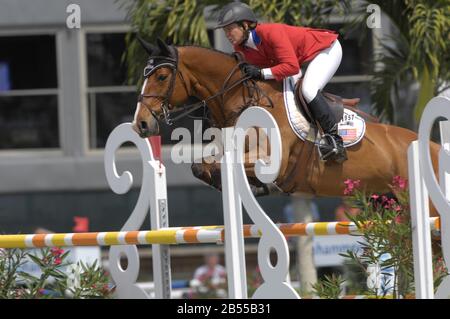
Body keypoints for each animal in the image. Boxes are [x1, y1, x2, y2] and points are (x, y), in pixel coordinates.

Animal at [133, 38, 440, 208]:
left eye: (161, 76)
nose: (142, 124)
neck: (243, 100)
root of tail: (434, 147)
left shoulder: (273, 160)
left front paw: (254, 185)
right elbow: (200, 166)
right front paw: (248, 186)